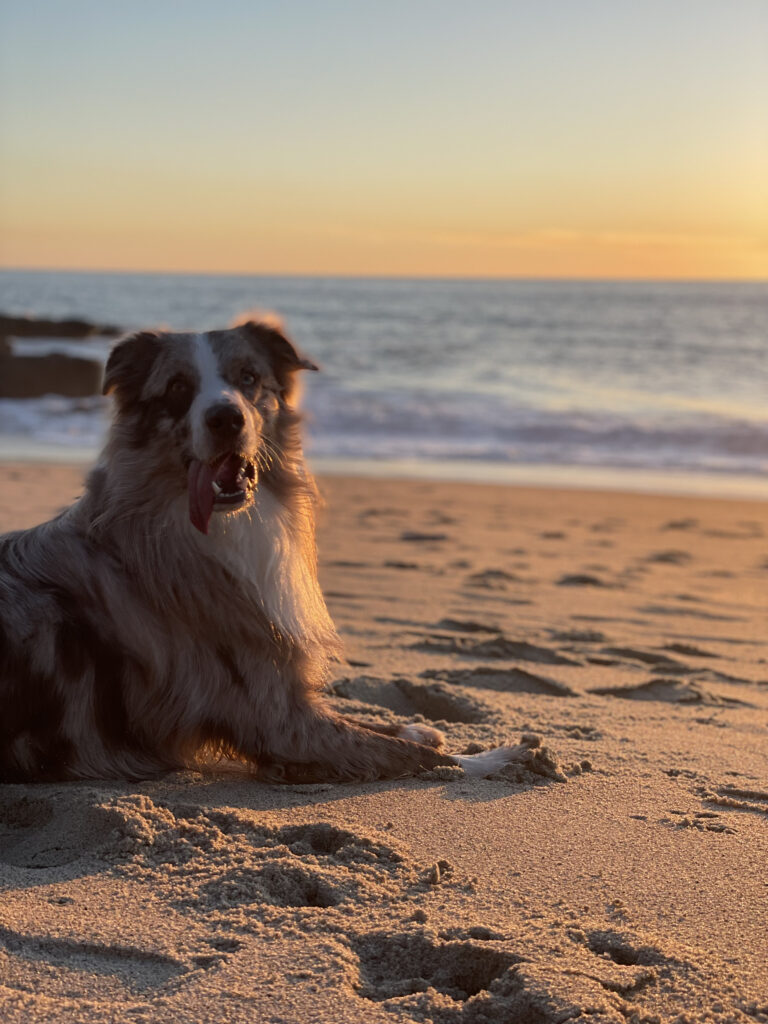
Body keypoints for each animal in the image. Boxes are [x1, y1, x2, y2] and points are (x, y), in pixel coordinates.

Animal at [0, 321, 520, 782]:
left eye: (248, 377)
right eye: (177, 387)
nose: (225, 418)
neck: (215, 528)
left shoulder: (290, 701)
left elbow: (377, 727)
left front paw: (420, 729)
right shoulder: (277, 720)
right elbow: (414, 757)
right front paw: (499, 758)